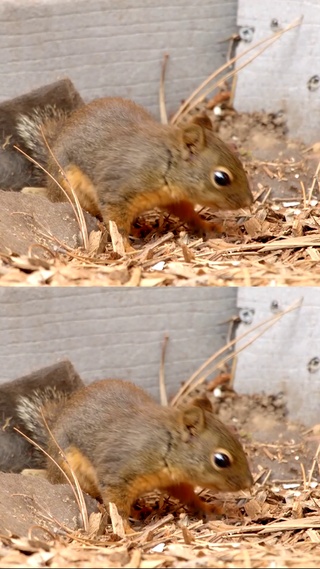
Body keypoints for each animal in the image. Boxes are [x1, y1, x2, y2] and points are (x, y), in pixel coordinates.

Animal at [16, 97, 254, 248]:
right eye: (221, 178)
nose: (249, 202)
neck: (164, 164)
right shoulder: (119, 189)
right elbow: (116, 224)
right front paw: (126, 249)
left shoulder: (172, 198)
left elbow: (187, 213)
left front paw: (206, 225)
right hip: (69, 188)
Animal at [44, 378, 252, 532]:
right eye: (221, 460)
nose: (249, 483)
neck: (163, 446)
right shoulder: (118, 472)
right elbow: (116, 506)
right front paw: (126, 530)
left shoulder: (172, 480)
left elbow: (187, 495)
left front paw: (206, 507)